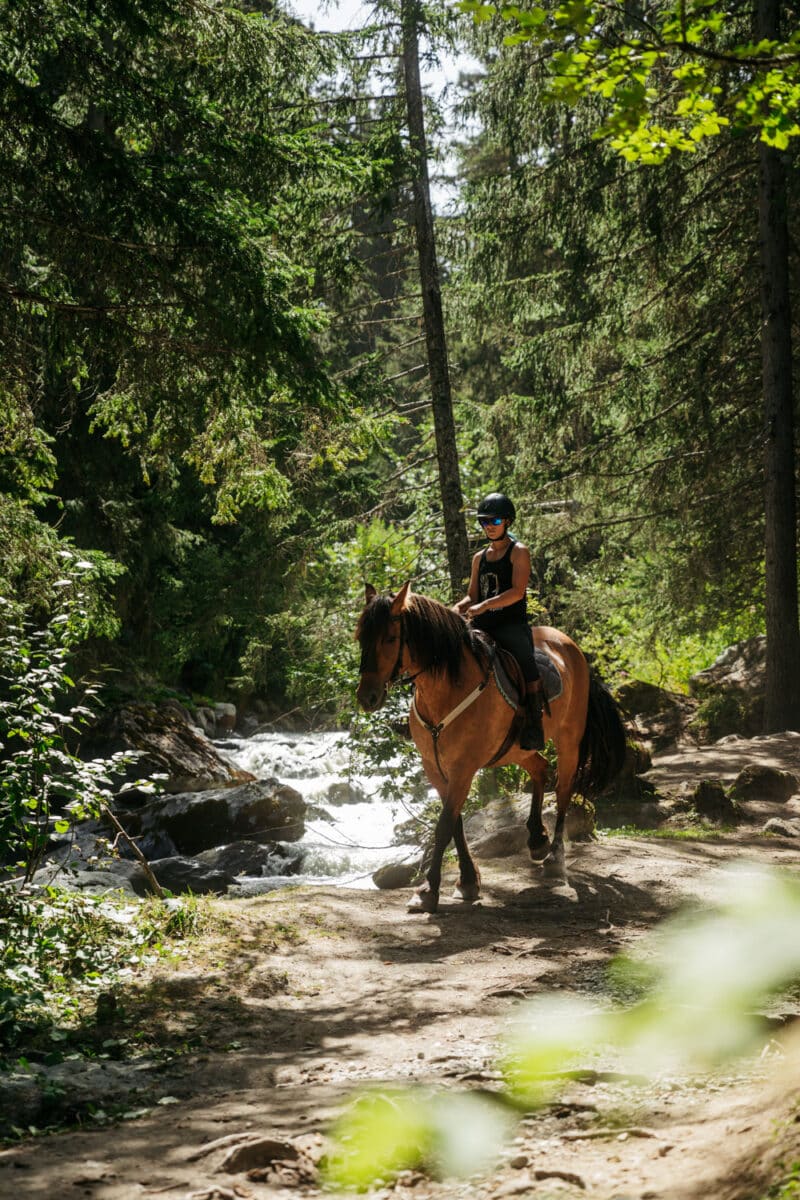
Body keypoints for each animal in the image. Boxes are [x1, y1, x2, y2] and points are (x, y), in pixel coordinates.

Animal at [355, 580, 623, 907]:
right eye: (360, 636)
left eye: (391, 638)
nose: (367, 697)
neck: (446, 690)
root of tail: (571, 647)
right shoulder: (435, 767)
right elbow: (455, 822)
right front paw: (468, 881)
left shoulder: (463, 768)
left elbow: (444, 826)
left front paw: (429, 889)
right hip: (516, 749)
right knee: (540, 768)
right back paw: (537, 838)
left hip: (568, 740)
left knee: (562, 791)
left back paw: (554, 858)